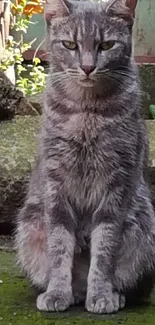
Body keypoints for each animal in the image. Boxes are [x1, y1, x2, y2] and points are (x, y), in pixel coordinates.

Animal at [15, 0, 155, 312]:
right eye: (70, 44)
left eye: (106, 45)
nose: (88, 67)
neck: (86, 112)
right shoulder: (56, 185)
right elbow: (59, 246)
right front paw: (57, 293)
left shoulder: (117, 184)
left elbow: (104, 249)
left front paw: (101, 294)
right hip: (30, 224)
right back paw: (73, 293)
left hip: (143, 225)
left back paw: (111, 294)